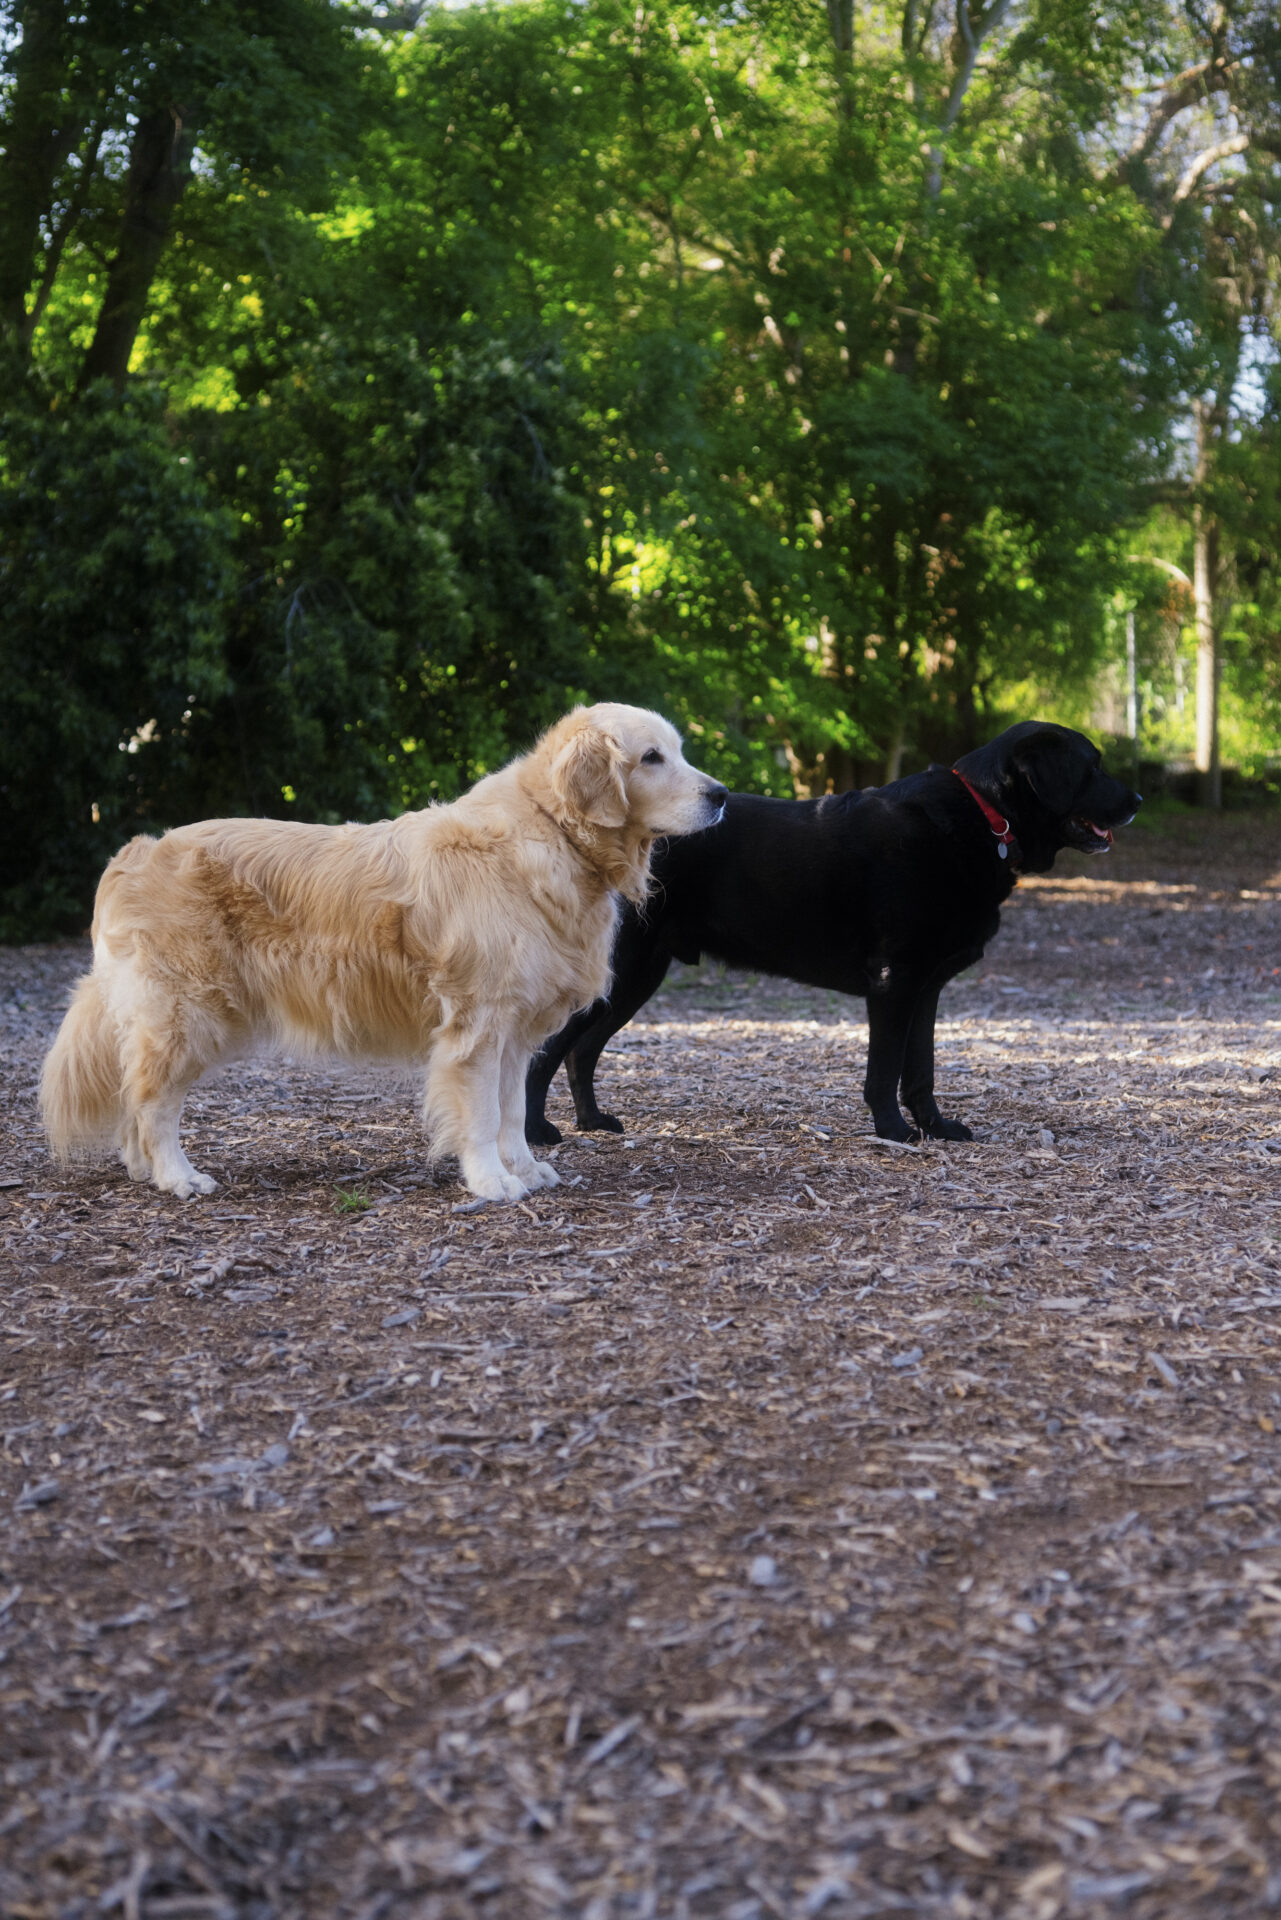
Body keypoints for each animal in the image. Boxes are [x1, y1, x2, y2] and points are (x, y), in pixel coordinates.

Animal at [526, 718, 1144, 1136]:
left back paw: (592, 1120)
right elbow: (885, 1069)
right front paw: (893, 1132)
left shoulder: (926, 987)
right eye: (1092, 767)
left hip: (636, 977)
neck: (983, 816)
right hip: (620, 971)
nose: (1138, 797)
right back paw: (539, 1134)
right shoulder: (895, 982)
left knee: (581, 1052)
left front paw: (936, 1128)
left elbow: (921, 1070)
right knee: (545, 1053)